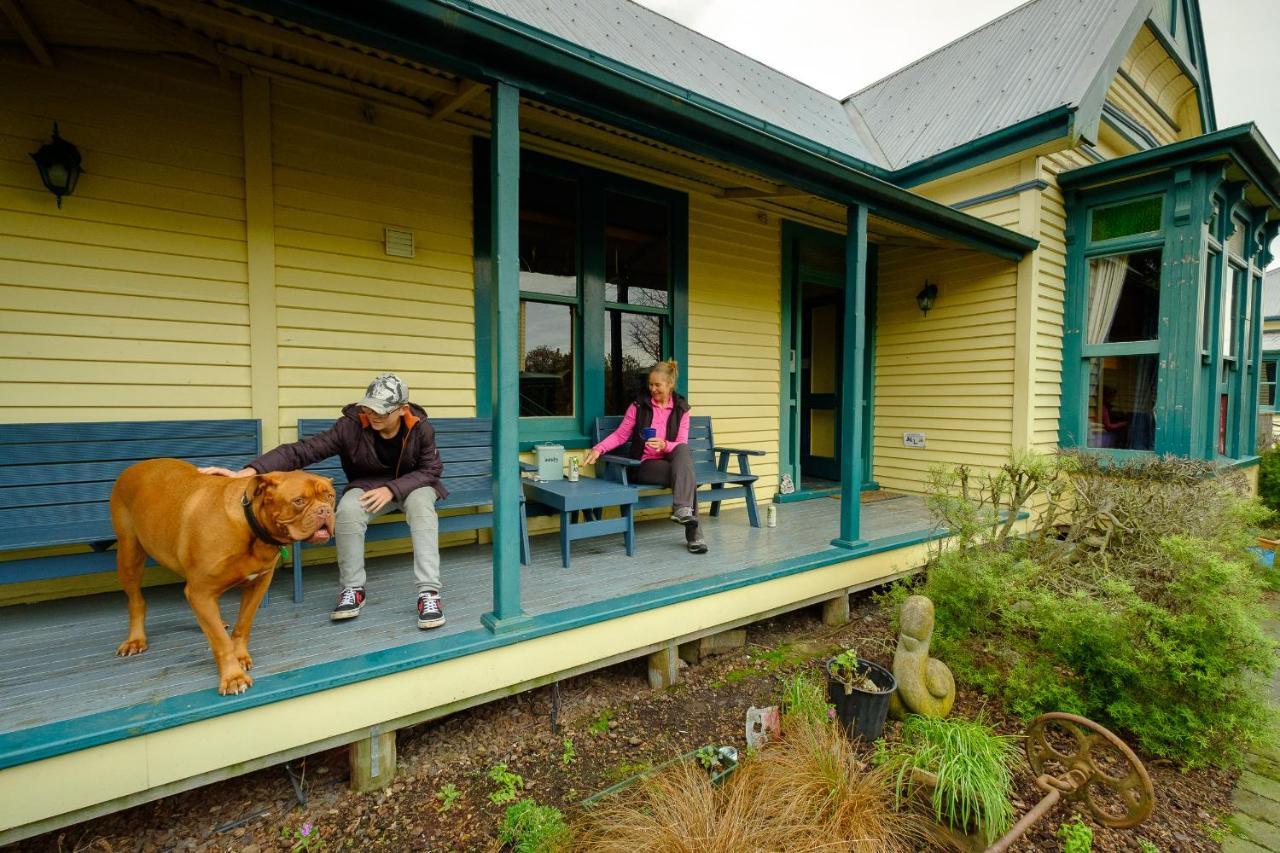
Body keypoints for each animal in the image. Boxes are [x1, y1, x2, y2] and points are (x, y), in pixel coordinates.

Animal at [110, 458, 337, 691]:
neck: (251, 529)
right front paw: (233, 676)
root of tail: (134, 467)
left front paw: (240, 655)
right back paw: (135, 639)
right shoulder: (201, 591)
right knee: (136, 601)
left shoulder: (258, 584)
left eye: (330, 496)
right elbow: (220, 641)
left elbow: (243, 624)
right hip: (129, 555)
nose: (324, 511)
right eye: (299, 501)